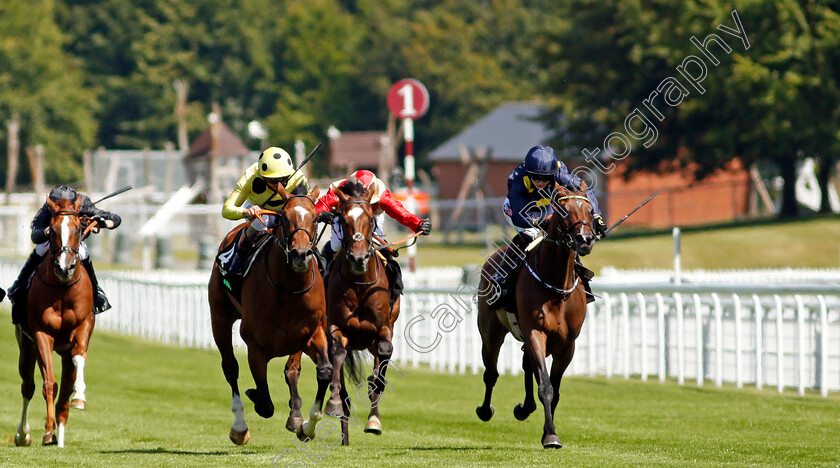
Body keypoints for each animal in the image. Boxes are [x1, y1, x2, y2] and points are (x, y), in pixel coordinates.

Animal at [15, 196, 100, 448]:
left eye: (80, 228)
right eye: (51, 230)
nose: (65, 267)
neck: (63, 290)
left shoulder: (82, 328)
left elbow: (78, 359)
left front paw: (80, 398)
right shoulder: (41, 334)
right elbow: (48, 384)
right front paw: (47, 429)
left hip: (62, 351)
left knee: (64, 391)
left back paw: (59, 435)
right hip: (26, 346)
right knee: (28, 387)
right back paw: (24, 435)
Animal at [207, 184, 332, 446]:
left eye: (316, 218)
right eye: (284, 217)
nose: (300, 254)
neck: (288, 288)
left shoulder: (312, 333)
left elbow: (324, 371)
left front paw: (307, 426)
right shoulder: (255, 345)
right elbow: (264, 403)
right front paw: (253, 395)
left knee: (292, 370)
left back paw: (295, 415)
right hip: (219, 317)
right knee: (230, 367)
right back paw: (239, 427)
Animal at [322, 177, 400, 444]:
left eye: (370, 219)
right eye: (343, 219)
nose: (358, 258)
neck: (359, 283)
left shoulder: (382, 328)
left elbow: (382, 362)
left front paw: (374, 418)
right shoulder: (336, 327)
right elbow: (337, 355)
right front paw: (334, 403)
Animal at [476, 185, 592, 448]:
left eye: (590, 210)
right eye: (563, 209)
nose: (584, 239)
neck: (556, 287)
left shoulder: (567, 344)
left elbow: (554, 390)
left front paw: (548, 429)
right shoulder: (535, 332)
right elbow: (546, 387)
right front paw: (550, 435)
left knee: (526, 364)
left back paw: (524, 408)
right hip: (491, 333)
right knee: (491, 373)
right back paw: (485, 410)